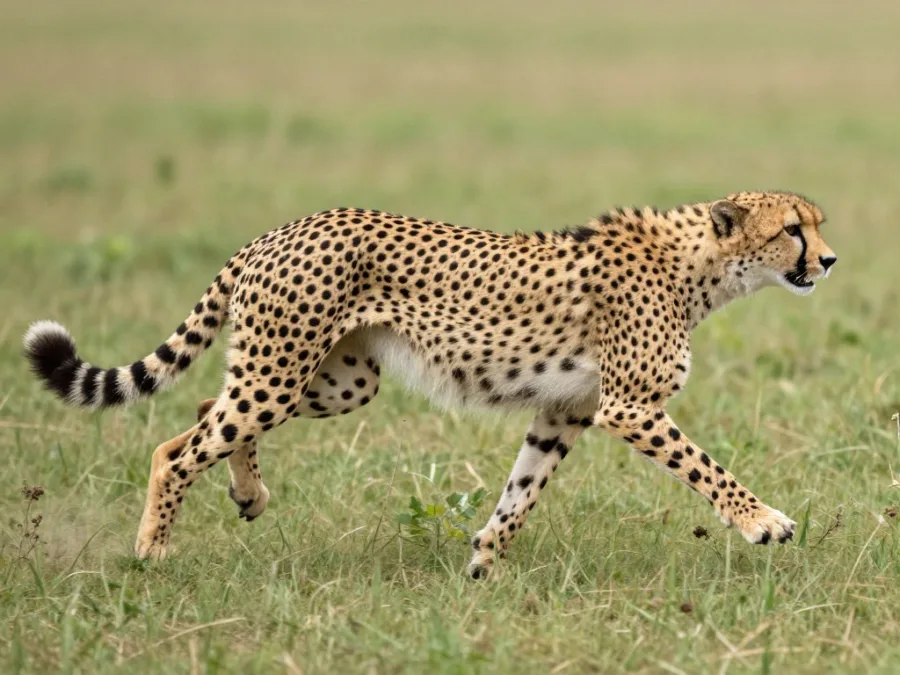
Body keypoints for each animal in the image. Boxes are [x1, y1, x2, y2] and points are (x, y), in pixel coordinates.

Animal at [23, 190, 836, 578]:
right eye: (793, 229)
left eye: (816, 225)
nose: (828, 261)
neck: (702, 265)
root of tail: (277, 231)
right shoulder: (628, 406)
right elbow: (707, 467)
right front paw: (763, 521)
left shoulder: (565, 411)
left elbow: (521, 490)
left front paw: (482, 561)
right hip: (283, 371)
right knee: (176, 448)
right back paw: (152, 551)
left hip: (334, 379)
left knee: (200, 408)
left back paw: (247, 494)